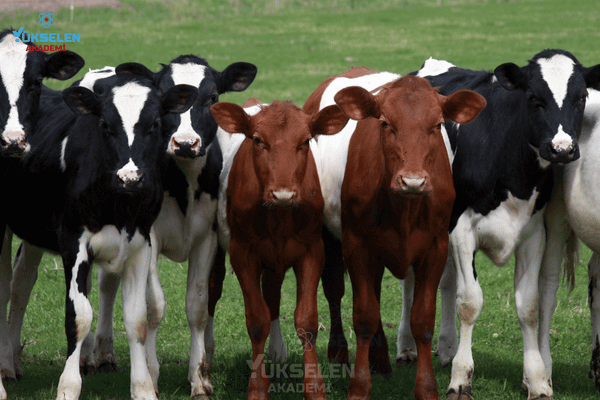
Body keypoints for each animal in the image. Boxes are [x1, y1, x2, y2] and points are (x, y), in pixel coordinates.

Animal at [213, 97, 350, 400]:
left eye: (306, 141)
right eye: (257, 140)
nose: (283, 193)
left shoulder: (312, 251)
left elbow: (307, 321)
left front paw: (314, 388)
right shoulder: (242, 253)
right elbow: (257, 320)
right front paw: (257, 388)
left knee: (272, 295)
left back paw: (277, 350)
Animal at [302, 67, 486, 398]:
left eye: (437, 124)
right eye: (385, 123)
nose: (412, 180)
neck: (404, 209)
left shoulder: (435, 247)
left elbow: (422, 320)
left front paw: (426, 388)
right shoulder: (356, 245)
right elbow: (363, 315)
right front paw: (359, 386)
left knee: (373, 290)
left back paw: (381, 359)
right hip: (328, 235)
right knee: (335, 290)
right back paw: (340, 354)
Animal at [394, 50, 600, 400]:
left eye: (581, 98)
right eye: (533, 98)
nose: (561, 149)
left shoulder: (533, 235)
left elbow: (529, 306)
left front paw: (537, 381)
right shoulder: (461, 231)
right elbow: (469, 302)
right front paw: (461, 379)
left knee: (446, 280)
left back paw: (447, 348)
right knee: (411, 280)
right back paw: (407, 346)